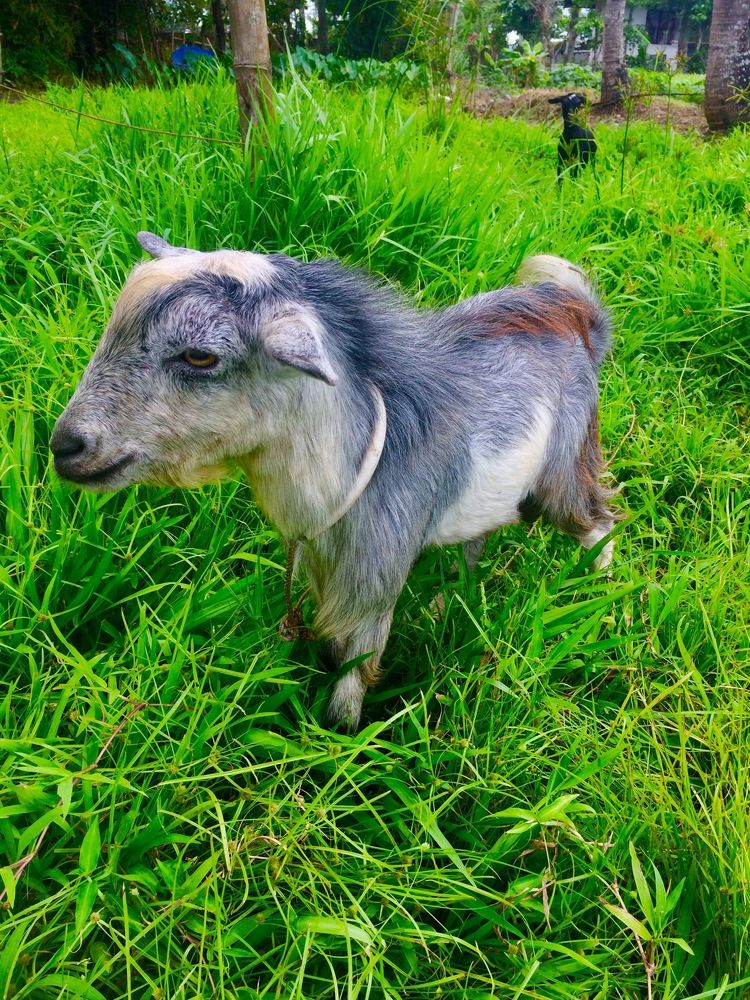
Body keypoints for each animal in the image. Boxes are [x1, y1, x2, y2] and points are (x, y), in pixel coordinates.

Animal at [51, 235, 616, 728]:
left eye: (199, 355)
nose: (64, 446)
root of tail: (576, 310)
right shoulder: (326, 563)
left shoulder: (374, 573)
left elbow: (355, 672)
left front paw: (338, 739)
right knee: (478, 539)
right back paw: (448, 603)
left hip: (565, 470)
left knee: (599, 523)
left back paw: (604, 598)